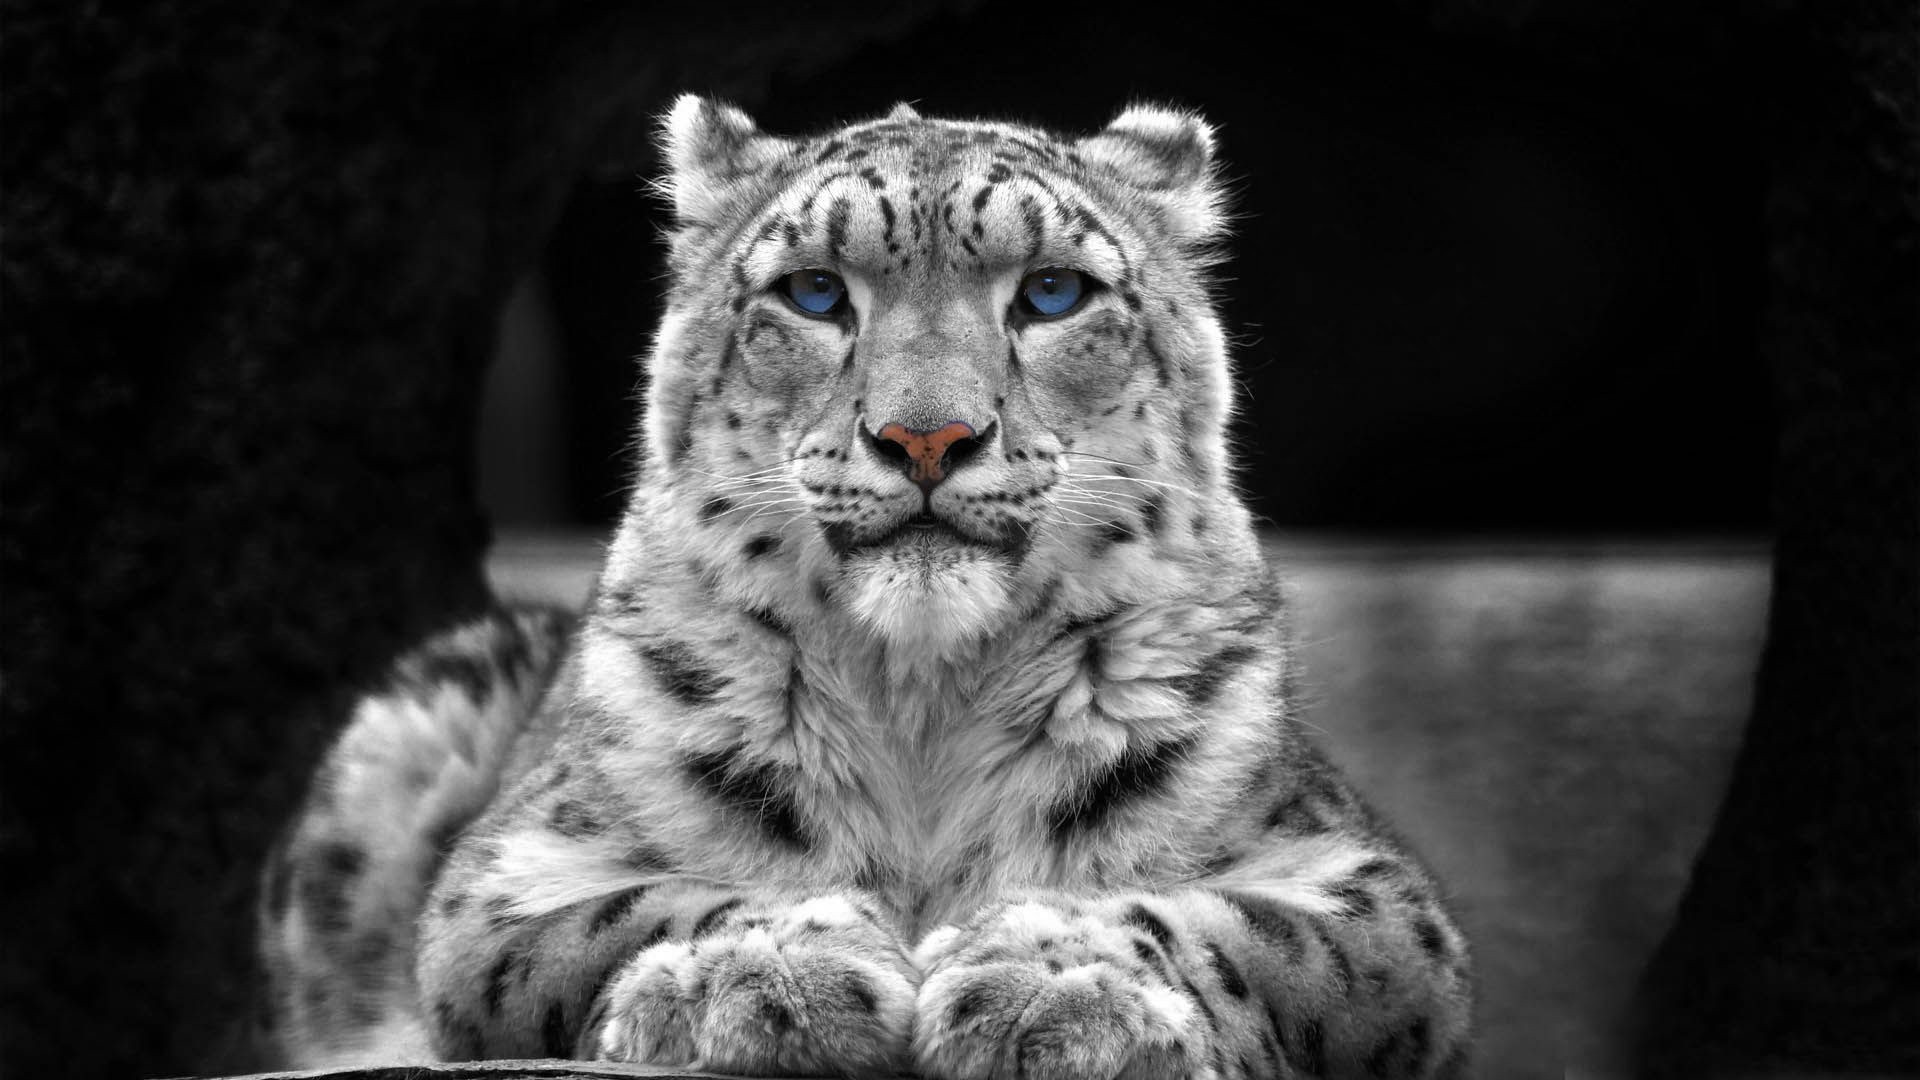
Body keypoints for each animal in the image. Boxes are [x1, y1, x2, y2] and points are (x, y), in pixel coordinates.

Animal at [258, 95, 1474, 1079]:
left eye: (1052, 292)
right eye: (812, 293)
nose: (926, 437)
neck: (923, 706)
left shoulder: (1367, 887)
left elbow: (1238, 926)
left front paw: (1052, 979)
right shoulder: (509, 873)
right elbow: (638, 903)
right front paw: (765, 968)